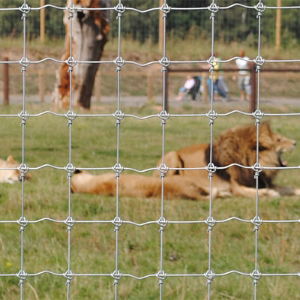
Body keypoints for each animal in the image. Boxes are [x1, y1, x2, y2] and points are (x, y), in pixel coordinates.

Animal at [155, 120, 300, 198]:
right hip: (173, 155)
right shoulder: (236, 187)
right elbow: (260, 192)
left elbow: (289, 188)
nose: (295, 142)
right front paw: (271, 194)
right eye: (279, 140)